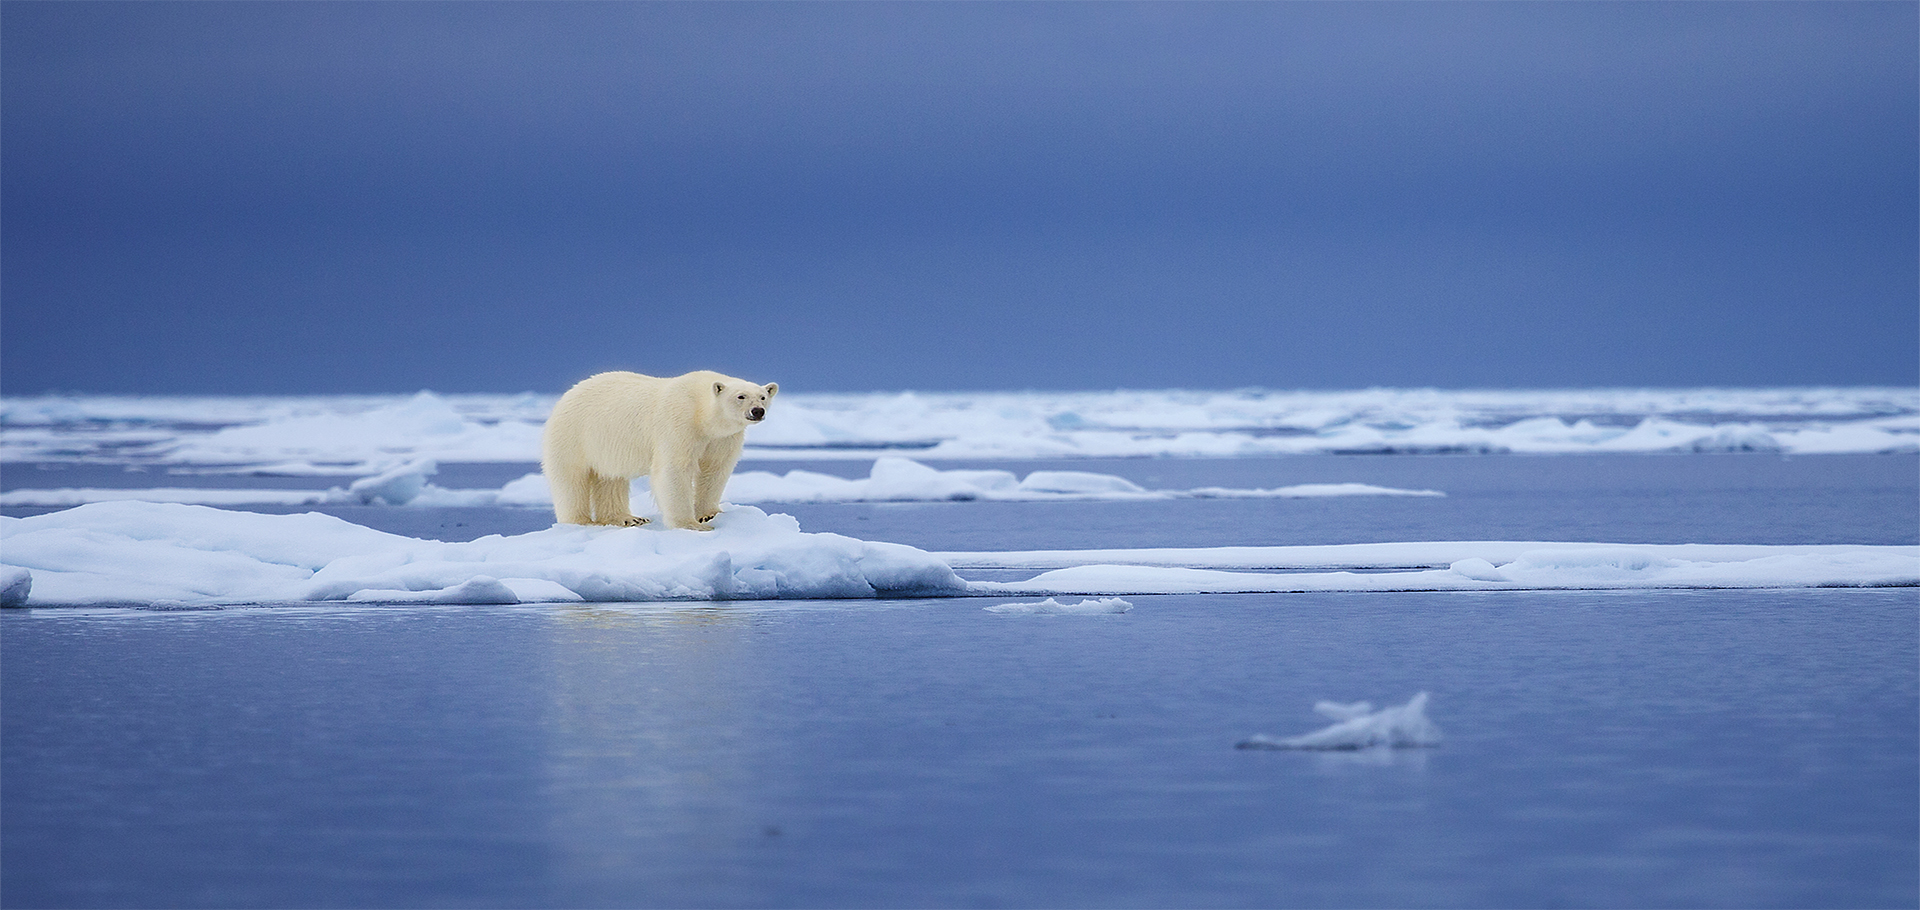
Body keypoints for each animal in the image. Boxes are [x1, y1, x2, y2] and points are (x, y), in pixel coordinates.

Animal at [541, 370, 777, 531]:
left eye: (763, 396)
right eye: (740, 396)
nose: (757, 411)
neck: (701, 412)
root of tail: (568, 393)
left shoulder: (722, 438)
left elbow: (716, 469)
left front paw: (708, 515)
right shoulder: (679, 423)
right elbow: (675, 469)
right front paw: (691, 524)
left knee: (610, 478)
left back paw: (627, 518)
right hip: (574, 435)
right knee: (571, 480)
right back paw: (581, 522)